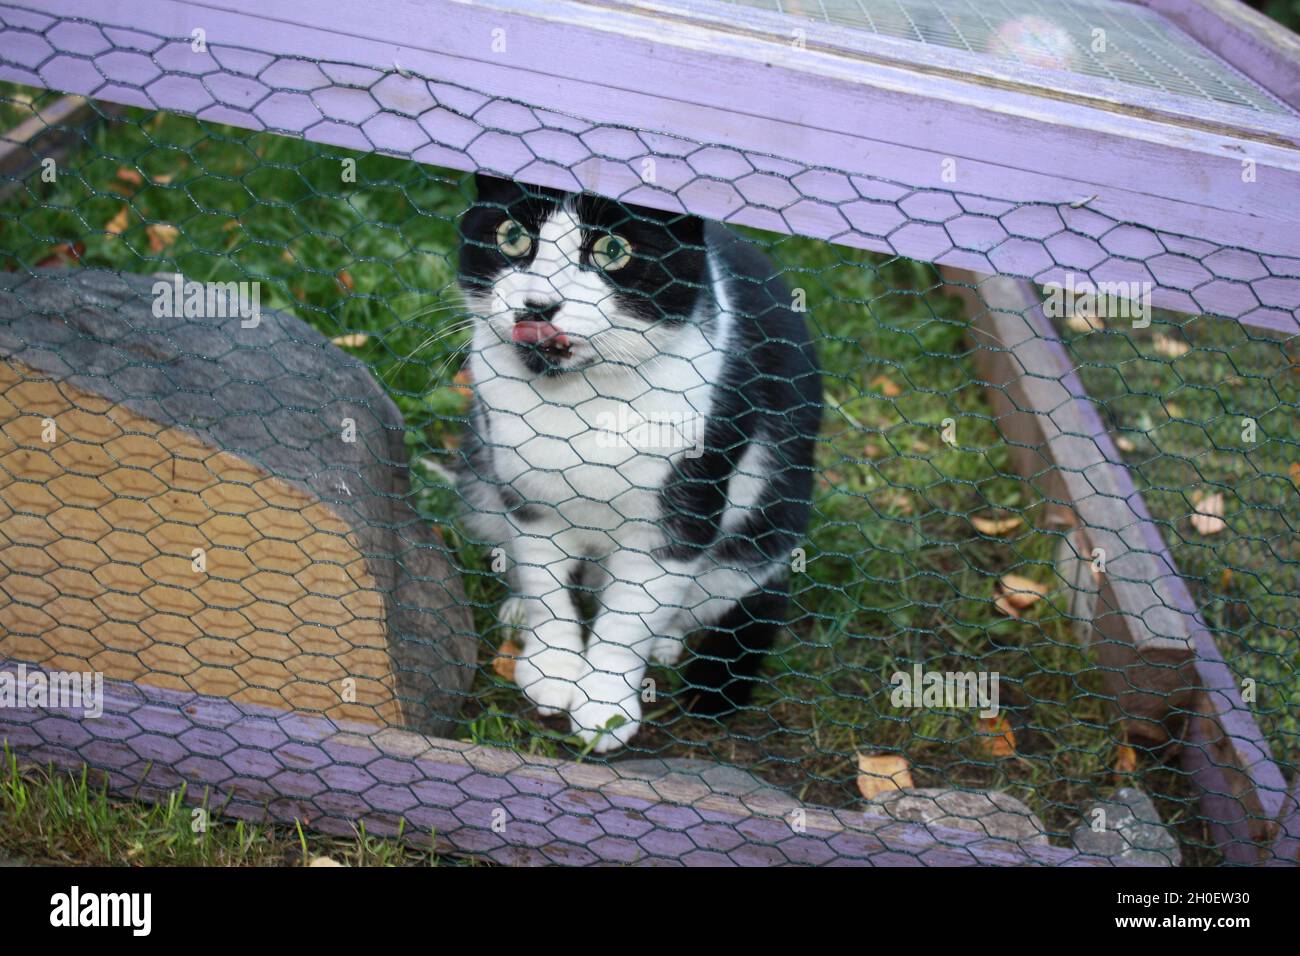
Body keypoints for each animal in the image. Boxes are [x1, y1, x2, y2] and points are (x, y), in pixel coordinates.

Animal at [460, 175, 821, 749]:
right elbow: (545, 583)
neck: (582, 401)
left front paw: (604, 708)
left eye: (614, 251)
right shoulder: (526, 495)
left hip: (764, 532)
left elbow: (628, 619)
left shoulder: (679, 516)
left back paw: (668, 643)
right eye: (512, 236)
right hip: (479, 471)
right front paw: (553, 669)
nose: (538, 305)